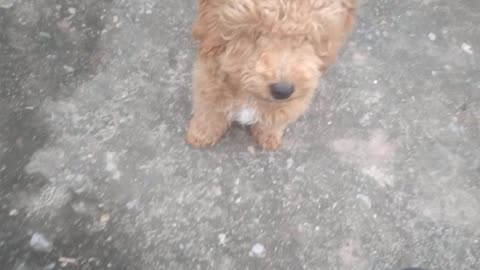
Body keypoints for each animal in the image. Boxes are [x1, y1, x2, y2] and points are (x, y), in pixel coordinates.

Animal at [187, 0, 356, 150]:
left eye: (308, 36)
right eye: (256, 32)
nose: (282, 91)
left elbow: (276, 118)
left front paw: (269, 137)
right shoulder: (209, 82)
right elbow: (209, 113)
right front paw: (200, 135)